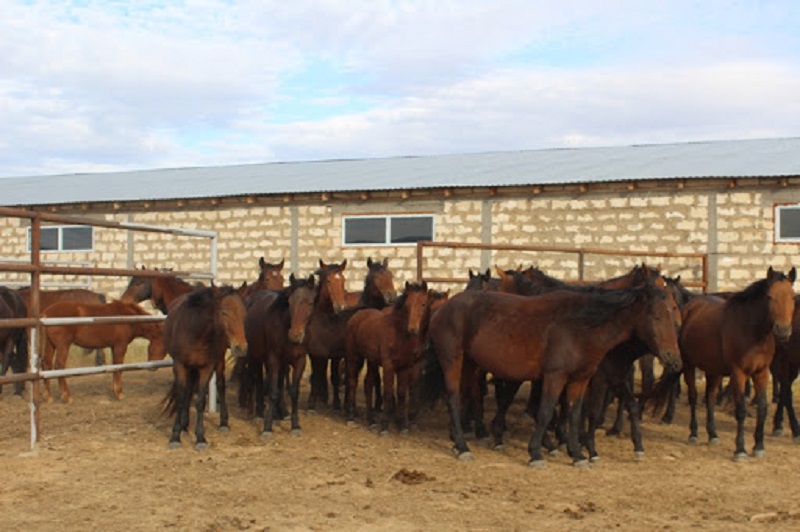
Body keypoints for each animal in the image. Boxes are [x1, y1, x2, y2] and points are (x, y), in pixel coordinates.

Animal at [163, 284, 247, 450]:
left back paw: (223, 423)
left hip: (218, 361)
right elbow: (181, 398)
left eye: (244, 313)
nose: (241, 347)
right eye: (224, 312)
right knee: (188, 391)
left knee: (220, 385)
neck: (196, 332)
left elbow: (200, 401)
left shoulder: (206, 368)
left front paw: (200, 438)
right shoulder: (180, 366)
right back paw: (184, 425)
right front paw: (175, 436)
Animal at [244, 274, 316, 436]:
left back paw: (280, 413)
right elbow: (272, 391)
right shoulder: (273, 359)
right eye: (290, 302)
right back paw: (259, 414)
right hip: (255, 357)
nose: (295, 335)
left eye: (310, 303)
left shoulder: (300, 360)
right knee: (259, 381)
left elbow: (293, 392)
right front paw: (267, 427)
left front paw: (295, 425)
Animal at [428, 276, 680, 468]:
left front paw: (578, 455)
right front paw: (536, 453)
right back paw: (463, 447)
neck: (580, 326)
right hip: (452, 360)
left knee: (468, 395)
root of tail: (442, 308)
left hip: (470, 364)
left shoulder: (582, 379)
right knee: (453, 398)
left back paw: (459, 439)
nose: (673, 359)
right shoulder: (555, 376)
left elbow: (575, 414)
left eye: (674, 314)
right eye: (656, 316)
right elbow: (547, 412)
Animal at [648, 266, 792, 462]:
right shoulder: (738, 373)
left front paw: (759, 447)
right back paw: (693, 434)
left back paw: (713, 435)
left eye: (792, 297)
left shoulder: (761, 372)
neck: (753, 332)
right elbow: (740, 410)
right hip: (689, 365)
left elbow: (762, 408)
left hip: (713, 370)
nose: (783, 331)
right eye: (770, 297)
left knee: (709, 398)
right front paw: (740, 450)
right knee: (693, 397)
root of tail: (689, 308)